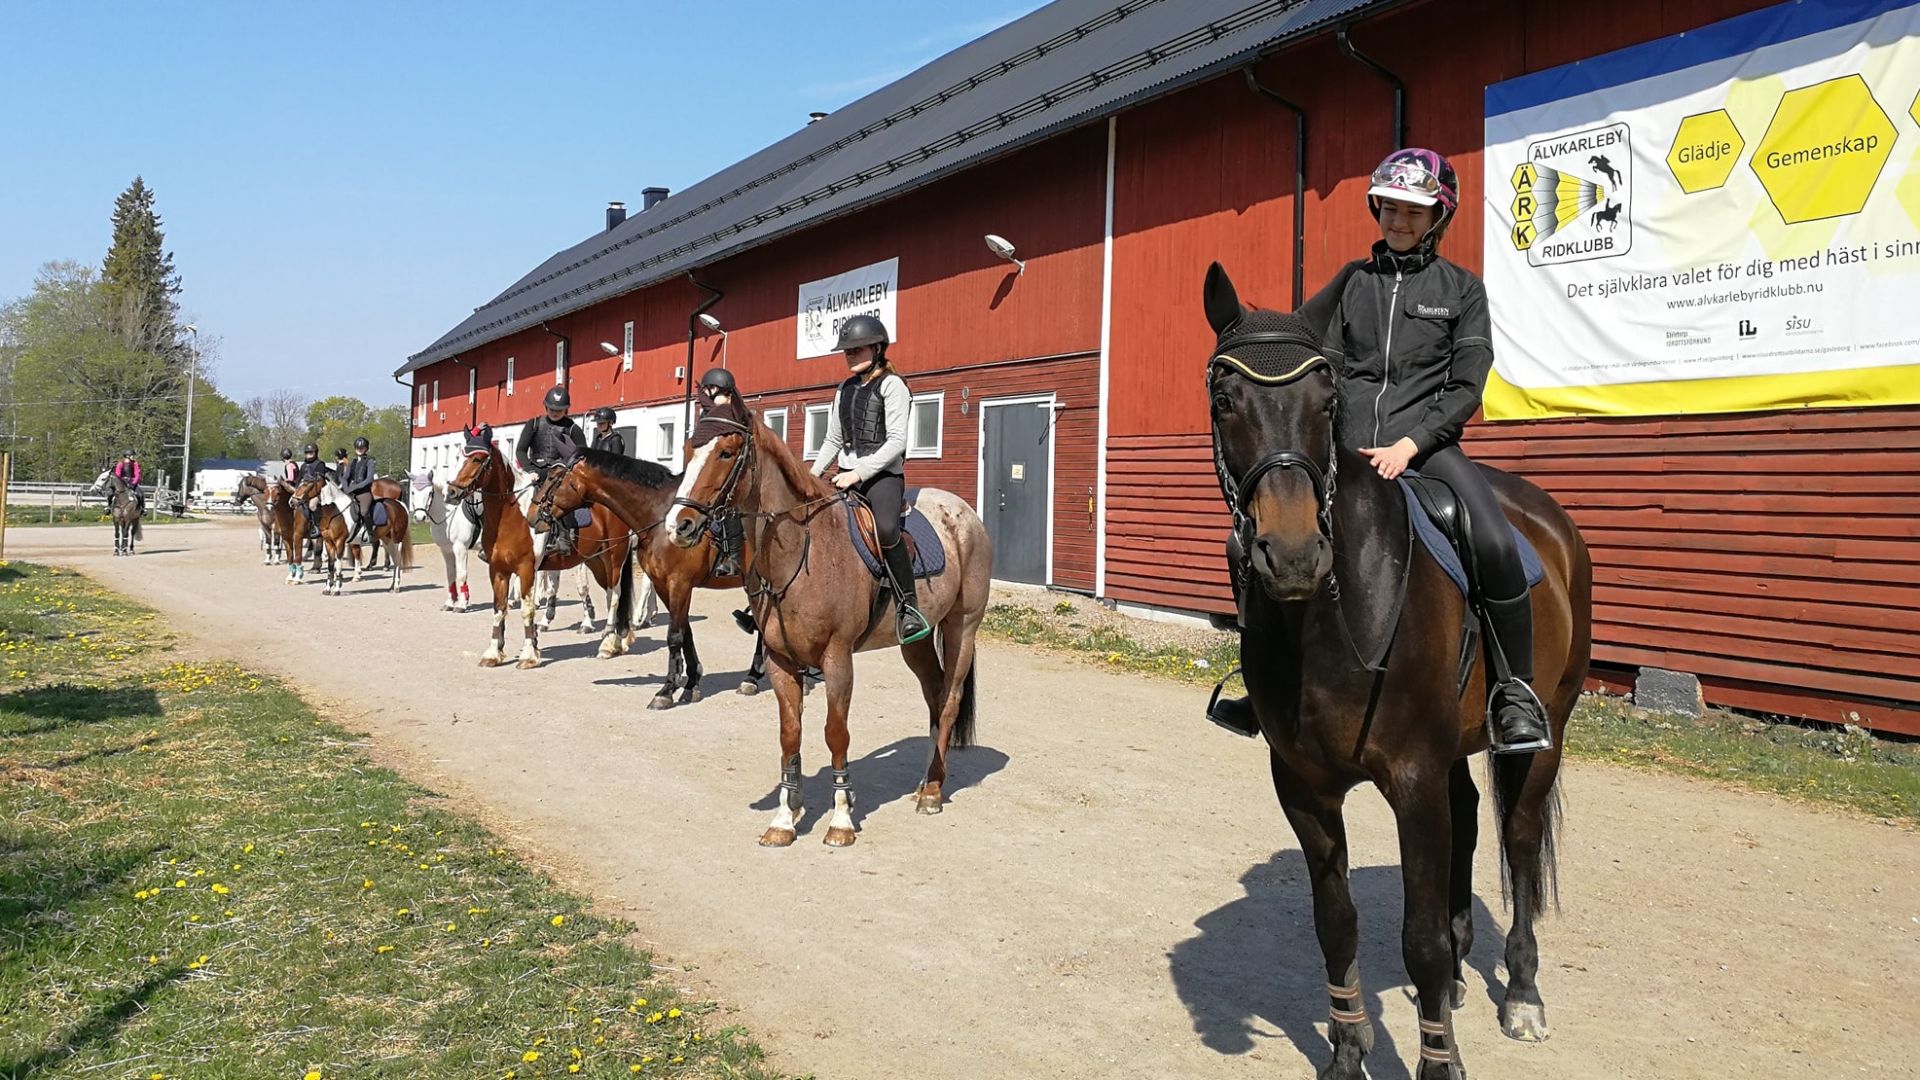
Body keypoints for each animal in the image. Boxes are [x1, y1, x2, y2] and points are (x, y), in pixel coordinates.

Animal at [443, 434, 637, 664]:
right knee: (609, 595)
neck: (510, 515)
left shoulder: (526, 569)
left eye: (477, 459)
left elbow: (527, 610)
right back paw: (615, 642)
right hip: (595, 561)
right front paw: (493, 653)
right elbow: (499, 608)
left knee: (615, 596)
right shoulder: (498, 570)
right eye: (457, 456)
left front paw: (528, 655)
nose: (451, 491)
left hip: (613, 558)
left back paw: (607, 646)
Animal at [529, 443, 768, 707]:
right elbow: (685, 632)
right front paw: (691, 682)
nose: (532, 515)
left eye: (553, 477)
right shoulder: (664, 584)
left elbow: (675, 635)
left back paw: (752, 677)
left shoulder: (679, 583)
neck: (659, 514)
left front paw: (666, 690)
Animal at [672, 411, 998, 841]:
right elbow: (789, 732)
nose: (679, 525)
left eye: (726, 453)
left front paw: (841, 817)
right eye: (688, 449)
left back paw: (932, 792)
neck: (801, 547)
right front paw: (784, 817)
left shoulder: (837, 658)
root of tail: (965, 513)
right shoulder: (780, 659)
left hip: (962, 626)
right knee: (934, 694)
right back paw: (927, 780)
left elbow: (835, 733)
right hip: (916, 641)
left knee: (949, 701)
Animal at [1198, 263, 1589, 1076]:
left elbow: (1420, 940)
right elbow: (1336, 923)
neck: (1334, 614)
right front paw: (1348, 1049)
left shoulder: (1412, 778)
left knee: (1521, 838)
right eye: (1225, 400)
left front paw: (1440, 1062)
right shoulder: (1305, 786)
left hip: (1546, 733)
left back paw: (1521, 994)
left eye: (1326, 402)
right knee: (1470, 815)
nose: (1293, 557)